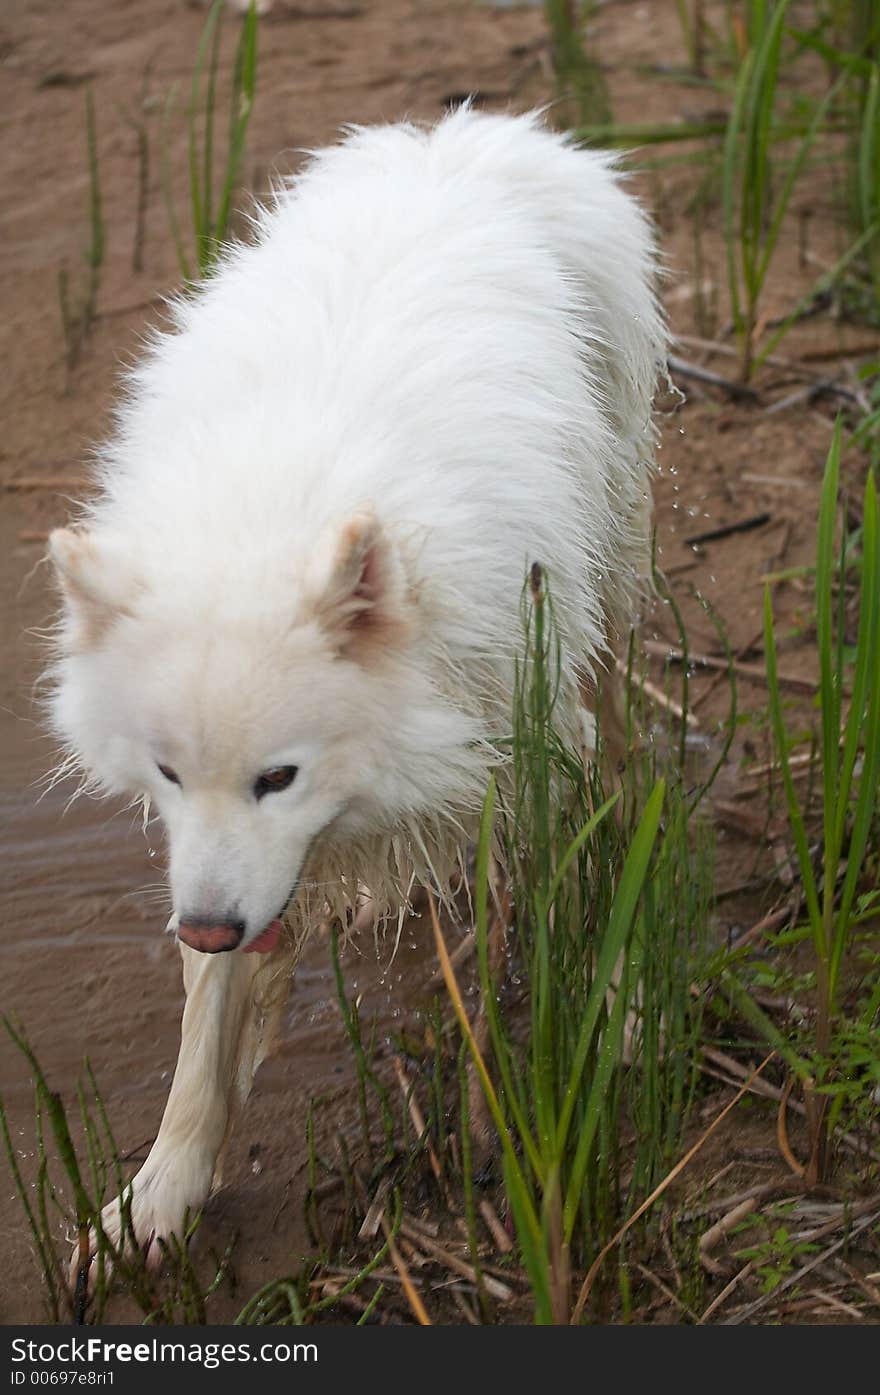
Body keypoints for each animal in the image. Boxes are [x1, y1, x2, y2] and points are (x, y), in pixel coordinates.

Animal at [46, 111, 661, 1266]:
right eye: (167, 774)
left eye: (279, 777)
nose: (205, 925)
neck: (278, 509)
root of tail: (463, 137)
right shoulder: (217, 868)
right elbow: (205, 1028)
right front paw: (156, 1196)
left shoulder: (512, 736)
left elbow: (533, 922)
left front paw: (536, 1083)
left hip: (607, 567)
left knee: (615, 726)